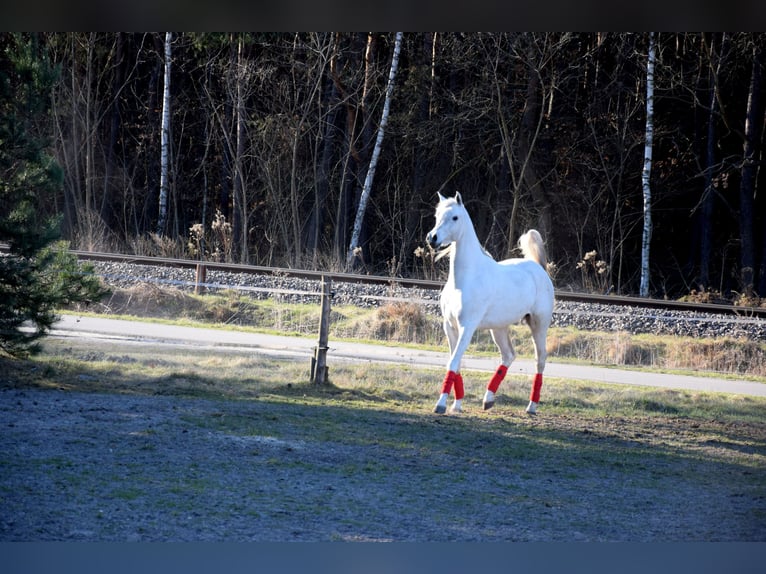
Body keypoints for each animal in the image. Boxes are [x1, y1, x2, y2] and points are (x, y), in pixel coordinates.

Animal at [425, 192, 554, 415]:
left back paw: (531, 407)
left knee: (540, 360)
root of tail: (538, 268)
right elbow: (455, 362)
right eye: (437, 215)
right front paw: (456, 405)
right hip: (499, 328)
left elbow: (453, 362)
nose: (432, 238)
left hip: (538, 325)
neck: (465, 279)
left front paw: (440, 404)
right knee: (509, 355)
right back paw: (488, 399)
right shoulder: (449, 326)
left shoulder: (467, 327)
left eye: (455, 217)